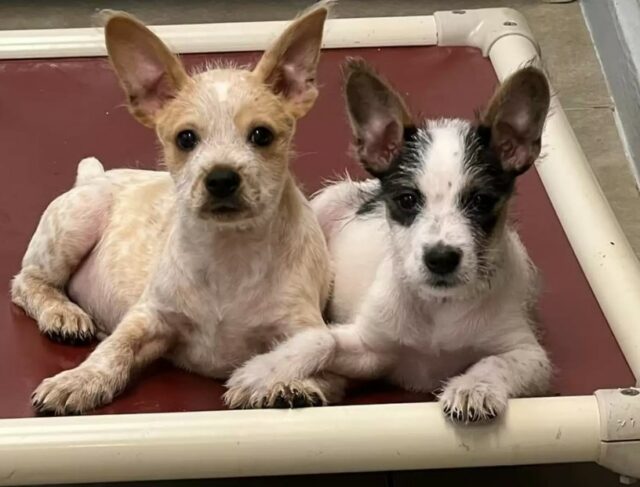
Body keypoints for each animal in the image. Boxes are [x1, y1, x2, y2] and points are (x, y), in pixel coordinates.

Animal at [12, 1, 340, 418]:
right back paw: (63, 313)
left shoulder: (304, 328)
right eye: (186, 139)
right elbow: (113, 350)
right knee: (27, 282)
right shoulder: (148, 316)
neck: (228, 252)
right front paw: (79, 380)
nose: (221, 178)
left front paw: (283, 383)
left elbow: (315, 360)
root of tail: (93, 175)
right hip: (77, 220)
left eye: (261, 135)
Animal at [228, 59, 552, 422]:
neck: (438, 308)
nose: (441, 259)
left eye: (481, 201)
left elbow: (495, 362)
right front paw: (262, 371)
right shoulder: (370, 349)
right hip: (324, 206)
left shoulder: (530, 355)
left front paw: (473, 387)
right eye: (407, 200)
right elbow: (321, 339)